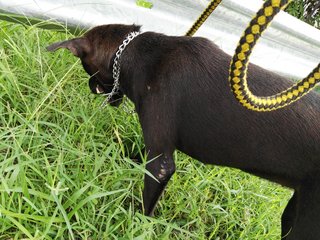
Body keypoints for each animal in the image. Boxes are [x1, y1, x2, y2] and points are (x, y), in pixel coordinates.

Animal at [46, 23, 320, 238]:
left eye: (86, 66)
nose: (90, 87)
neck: (135, 54)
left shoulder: (160, 163)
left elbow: (145, 209)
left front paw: (135, 225)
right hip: (292, 213)